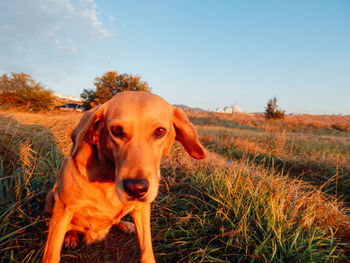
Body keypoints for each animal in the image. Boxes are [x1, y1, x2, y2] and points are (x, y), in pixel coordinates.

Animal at [41, 92, 205, 262]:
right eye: (116, 129)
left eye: (160, 131)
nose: (136, 188)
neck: (109, 179)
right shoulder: (64, 207)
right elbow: (51, 253)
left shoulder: (141, 208)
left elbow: (146, 249)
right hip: (51, 198)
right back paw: (71, 236)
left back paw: (125, 224)